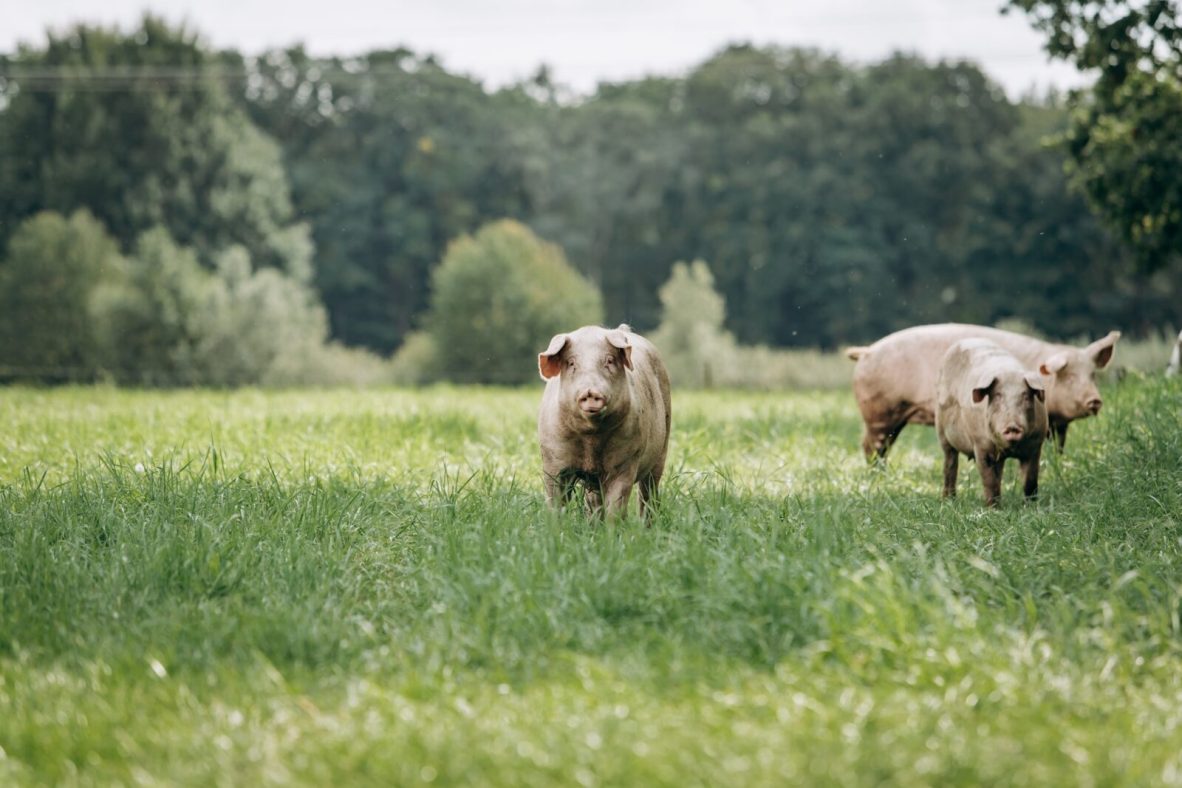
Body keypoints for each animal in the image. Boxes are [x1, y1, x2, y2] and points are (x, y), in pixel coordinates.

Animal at [537, 324, 671, 520]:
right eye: (571, 363)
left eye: (609, 361)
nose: (590, 391)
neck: (591, 438)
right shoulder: (552, 458)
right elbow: (556, 500)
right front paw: (555, 525)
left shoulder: (626, 461)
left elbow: (616, 505)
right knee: (593, 500)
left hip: (662, 447)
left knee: (648, 492)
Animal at [846, 323, 1119, 460]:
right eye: (1070, 376)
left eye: (1092, 375)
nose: (1095, 400)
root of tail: (866, 350)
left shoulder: (1058, 425)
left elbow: (1059, 447)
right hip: (880, 412)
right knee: (870, 445)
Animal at [936, 339, 1048, 507]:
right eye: (997, 396)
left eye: (1026, 396)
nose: (1012, 426)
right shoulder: (980, 445)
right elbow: (989, 481)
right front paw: (993, 508)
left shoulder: (1035, 445)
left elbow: (1030, 480)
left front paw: (1031, 507)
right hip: (942, 432)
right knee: (950, 465)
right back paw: (948, 501)